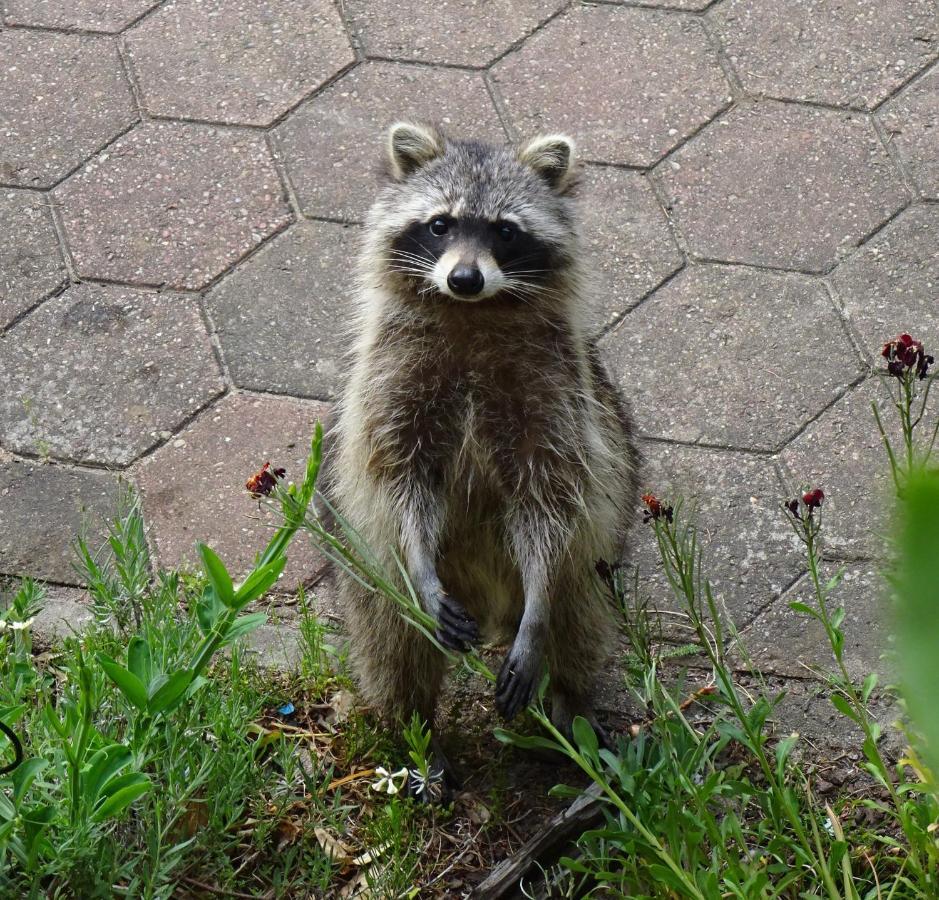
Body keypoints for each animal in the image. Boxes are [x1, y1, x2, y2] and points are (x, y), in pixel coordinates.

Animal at [326, 119, 644, 764]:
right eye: (439, 224)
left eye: (504, 230)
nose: (464, 278)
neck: (471, 314)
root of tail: (491, 609)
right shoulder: (389, 383)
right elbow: (397, 478)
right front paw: (420, 561)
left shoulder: (558, 395)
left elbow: (553, 496)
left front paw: (542, 625)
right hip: (370, 576)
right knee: (393, 643)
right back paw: (414, 727)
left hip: (588, 562)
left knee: (579, 610)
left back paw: (571, 699)